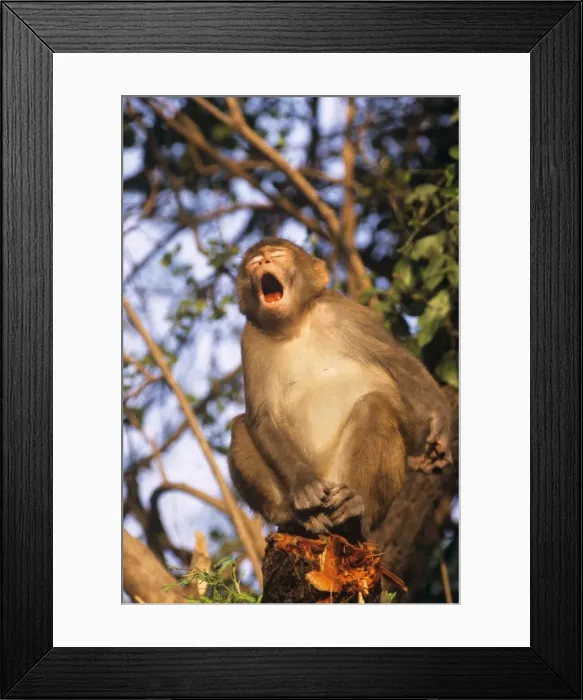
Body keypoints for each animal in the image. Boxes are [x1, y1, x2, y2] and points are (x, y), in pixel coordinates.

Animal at [228, 237, 452, 542]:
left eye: (277, 254)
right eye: (253, 262)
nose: (264, 261)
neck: (294, 325)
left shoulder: (340, 309)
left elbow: (394, 358)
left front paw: (439, 420)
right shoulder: (251, 339)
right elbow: (261, 416)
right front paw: (304, 485)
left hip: (348, 483)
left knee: (375, 407)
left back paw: (357, 512)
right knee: (240, 426)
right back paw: (299, 518)